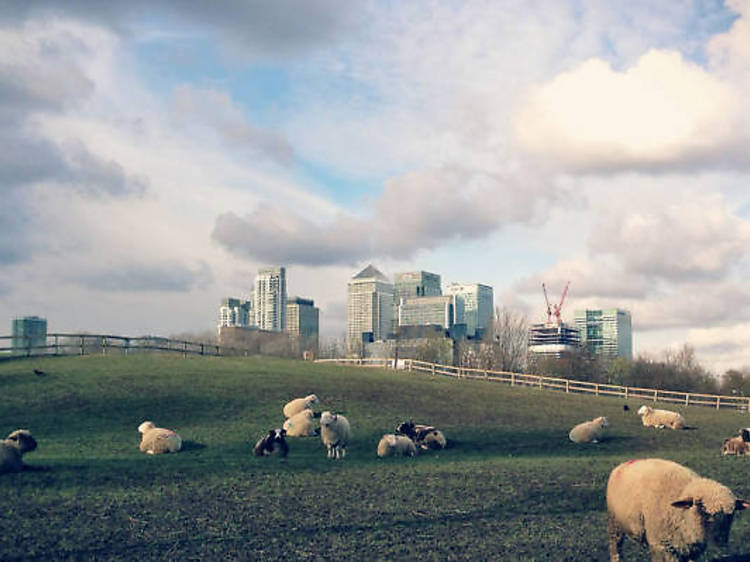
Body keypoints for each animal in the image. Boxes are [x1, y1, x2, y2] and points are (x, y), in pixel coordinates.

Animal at [608, 458, 748, 556]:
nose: (719, 543)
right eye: (701, 508)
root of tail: (625, 463)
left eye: (731, 514)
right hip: (615, 524)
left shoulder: (691, 549)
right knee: (615, 547)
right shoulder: (662, 546)